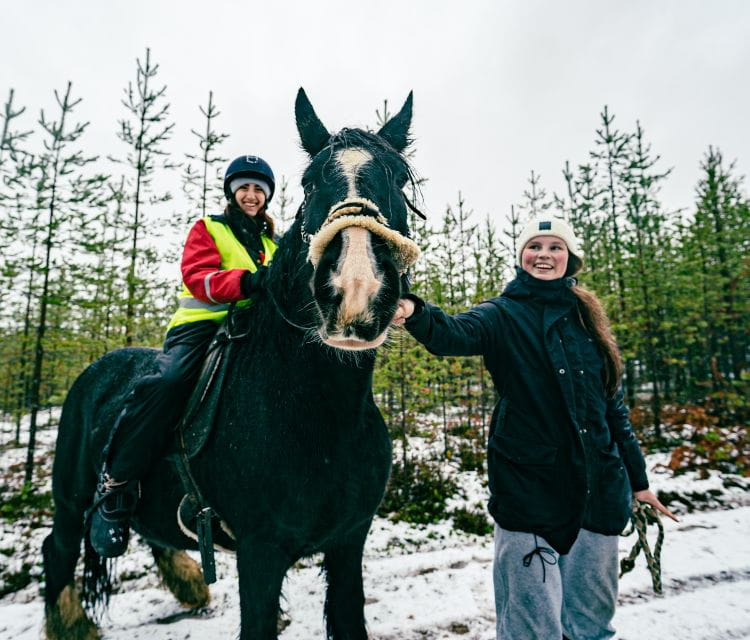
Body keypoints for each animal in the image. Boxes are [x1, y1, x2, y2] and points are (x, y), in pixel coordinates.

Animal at [41, 88, 420, 640]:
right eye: (310, 182)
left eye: (398, 177)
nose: (355, 291)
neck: (318, 414)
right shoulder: (260, 555)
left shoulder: (350, 543)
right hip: (70, 499)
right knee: (58, 548)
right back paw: (70, 621)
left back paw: (187, 585)